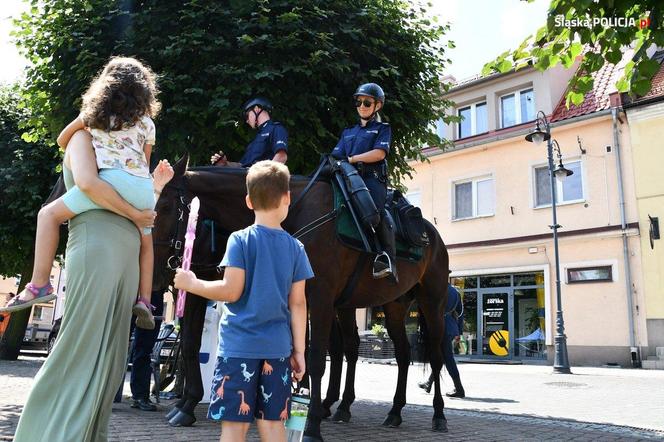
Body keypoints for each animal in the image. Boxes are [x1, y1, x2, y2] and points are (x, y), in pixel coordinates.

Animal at [152, 154, 448, 440]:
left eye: (165, 206)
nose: (155, 275)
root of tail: (430, 234)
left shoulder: (319, 297)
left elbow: (314, 358)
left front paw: (312, 426)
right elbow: (192, 343)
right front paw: (187, 405)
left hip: (431, 303)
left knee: (435, 355)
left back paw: (438, 416)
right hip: (391, 306)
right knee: (398, 353)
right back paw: (390, 411)